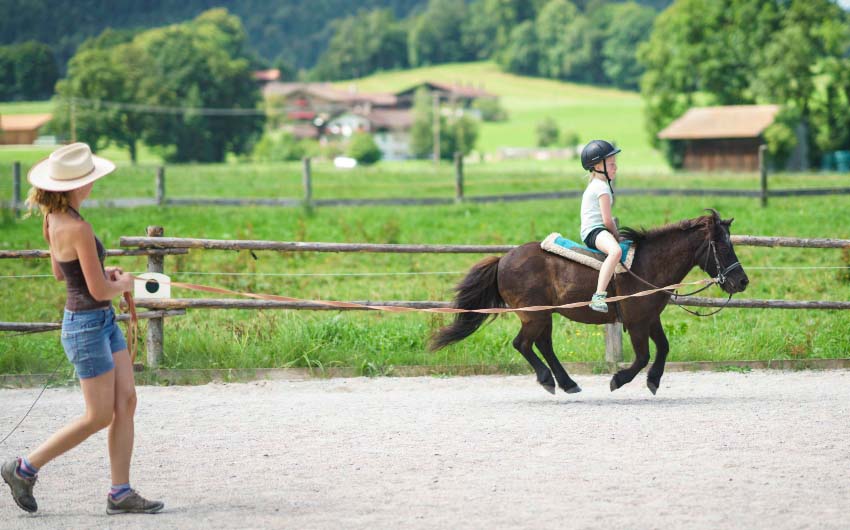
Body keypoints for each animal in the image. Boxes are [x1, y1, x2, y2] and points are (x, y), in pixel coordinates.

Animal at [430, 208, 748, 394]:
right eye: (722, 246)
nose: (742, 281)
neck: (648, 264)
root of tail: (503, 259)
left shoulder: (650, 319)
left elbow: (664, 348)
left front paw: (654, 381)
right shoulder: (636, 323)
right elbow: (643, 356)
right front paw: (619, 379)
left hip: (545, 314)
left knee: (543, 344)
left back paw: (567, 383)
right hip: (534, 315)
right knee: (523, 344)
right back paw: (548, 380)